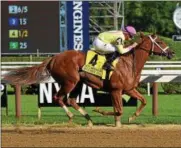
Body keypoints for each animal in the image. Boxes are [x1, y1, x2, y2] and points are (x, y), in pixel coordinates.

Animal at [3, 33, 174, 126]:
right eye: (160, 42)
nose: (172, 52)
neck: (130, 63)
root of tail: (53, 58)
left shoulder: (129, 89)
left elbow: (143, 101)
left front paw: (132, 117)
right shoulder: (116, 90)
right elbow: (118, 110)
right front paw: (100, 111)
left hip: (78, 83)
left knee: (71, 100)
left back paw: (88, 119)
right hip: (70, 81)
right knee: (58, 97)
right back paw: (72, 116)